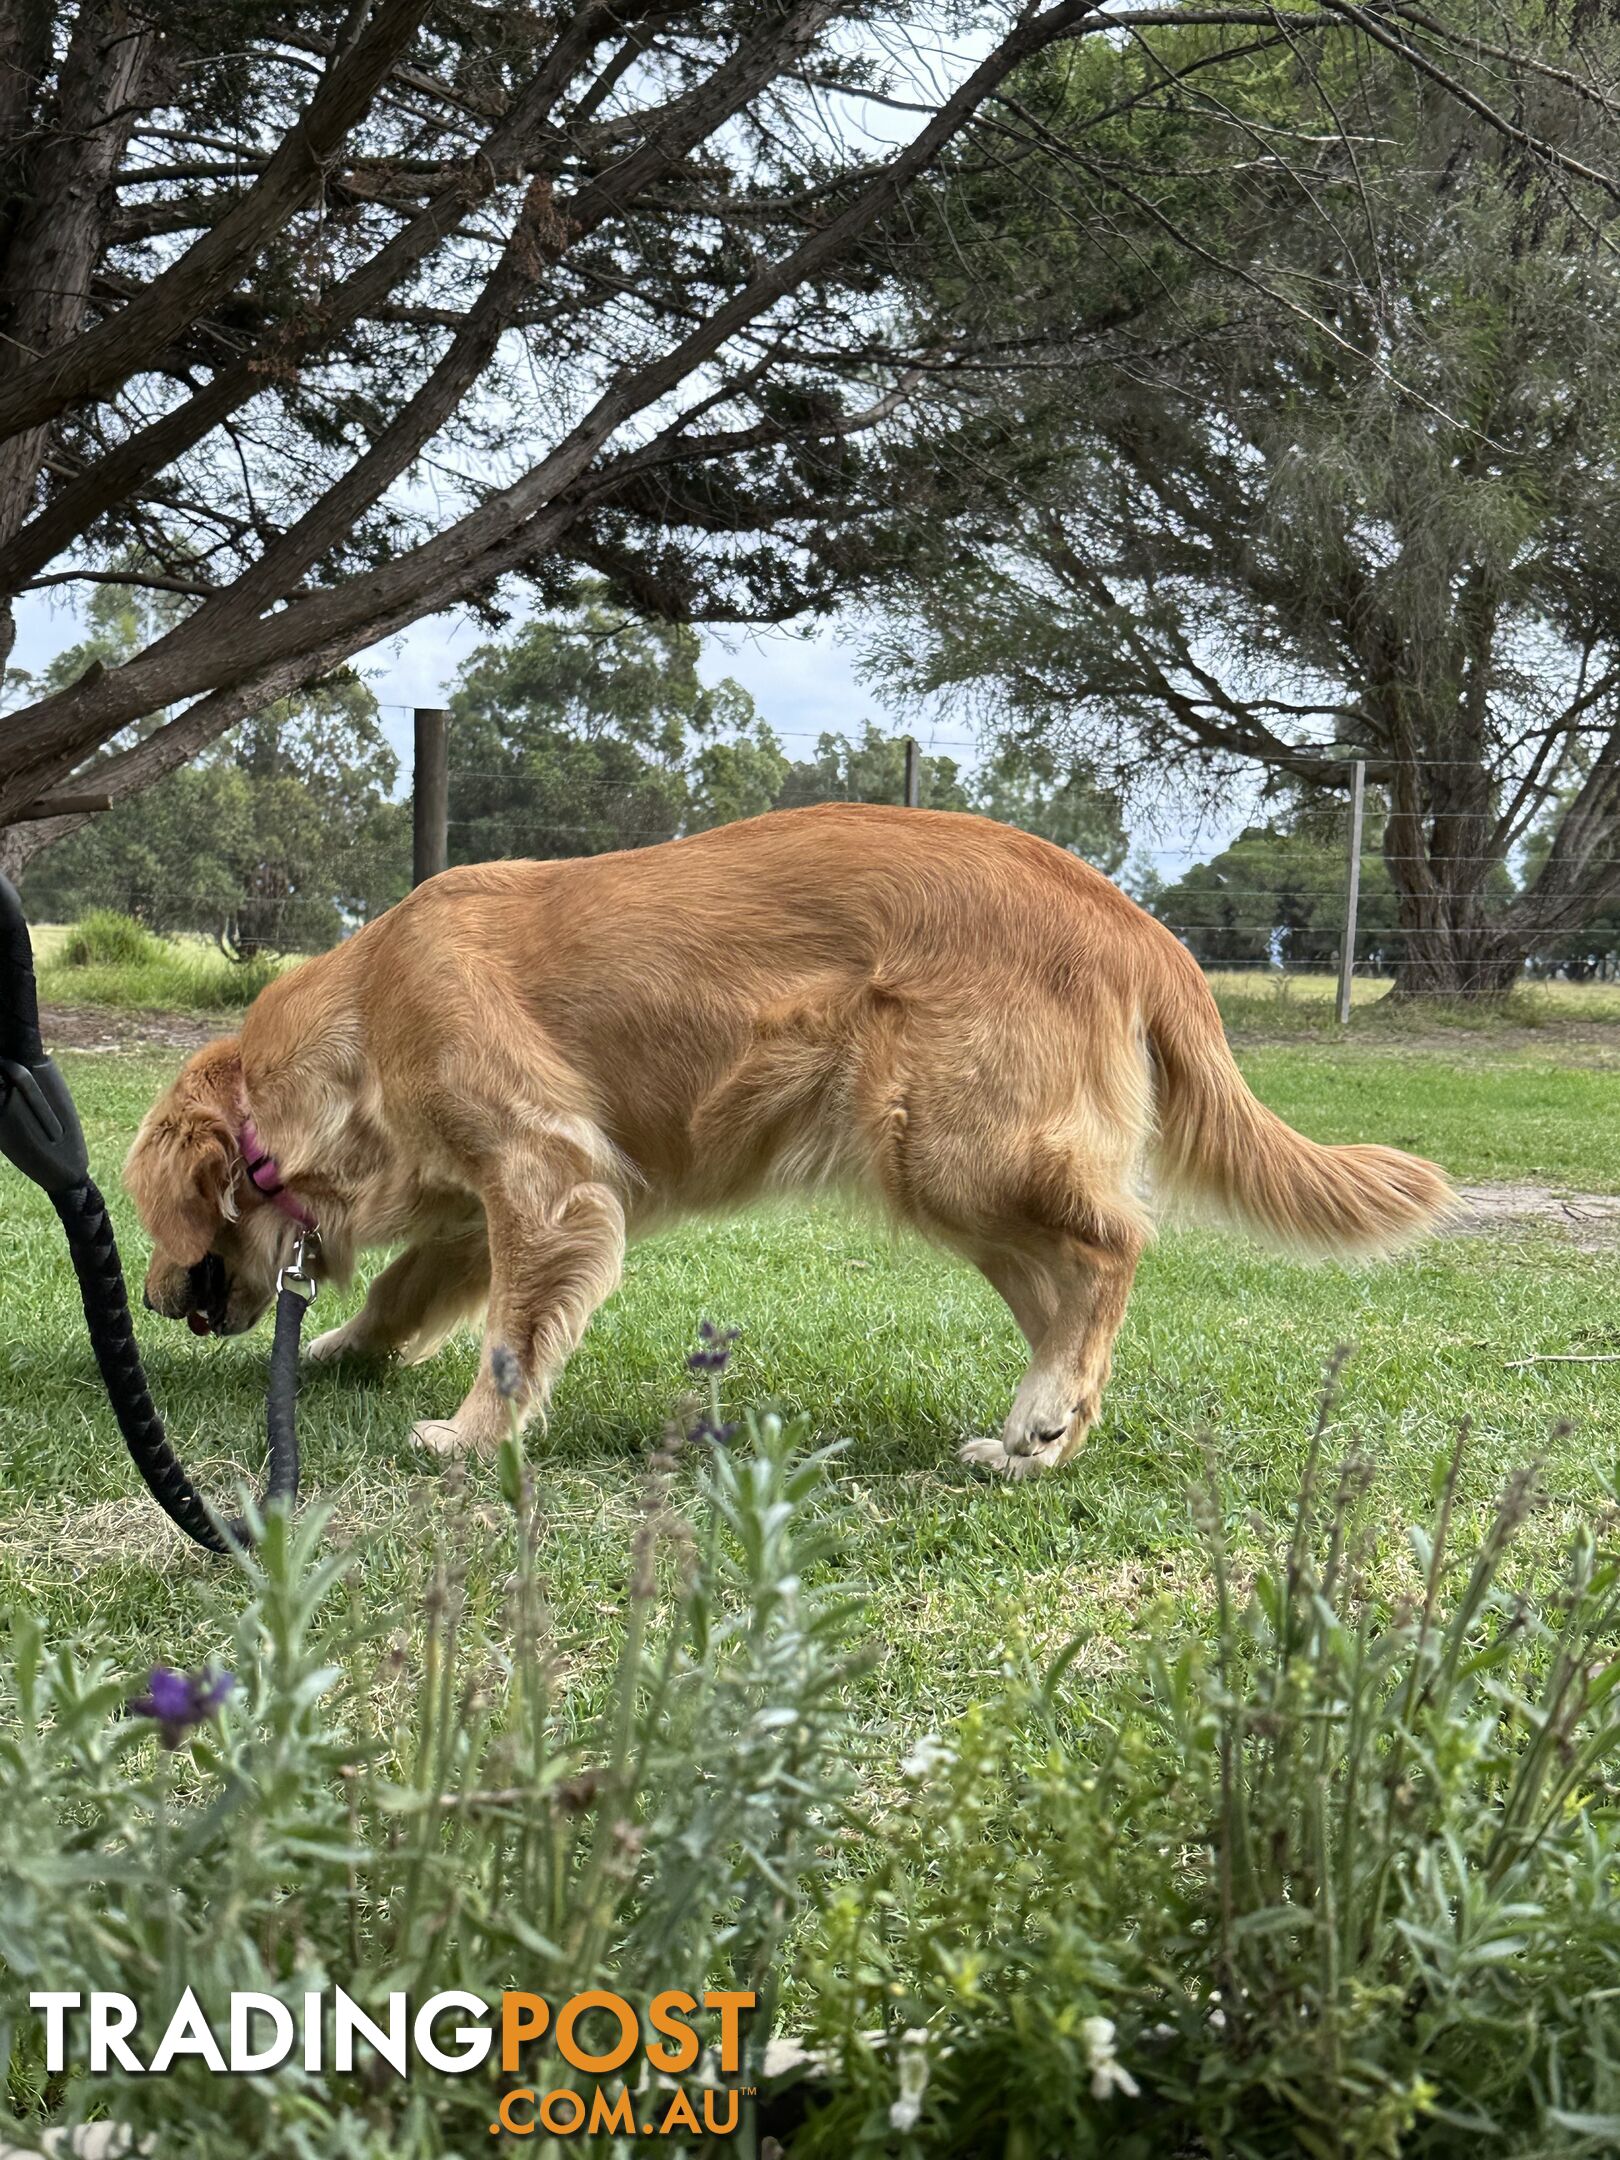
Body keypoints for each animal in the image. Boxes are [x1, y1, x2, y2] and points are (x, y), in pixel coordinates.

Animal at [120, 803, 1451, 1477]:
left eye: (147, 1220)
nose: (142, 1298)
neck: (365, 1017)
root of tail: (1134, 919)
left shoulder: (549, 1182)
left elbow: (506, 1342)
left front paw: (469, 1437)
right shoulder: (485, 1202)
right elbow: (409, 1293)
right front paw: (340, 1348)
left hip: (953, 1152)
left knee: (1117, 1245)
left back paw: (1052, 1406)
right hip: (954, 1181)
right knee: (1067, 1292)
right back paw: (1039, 1433)